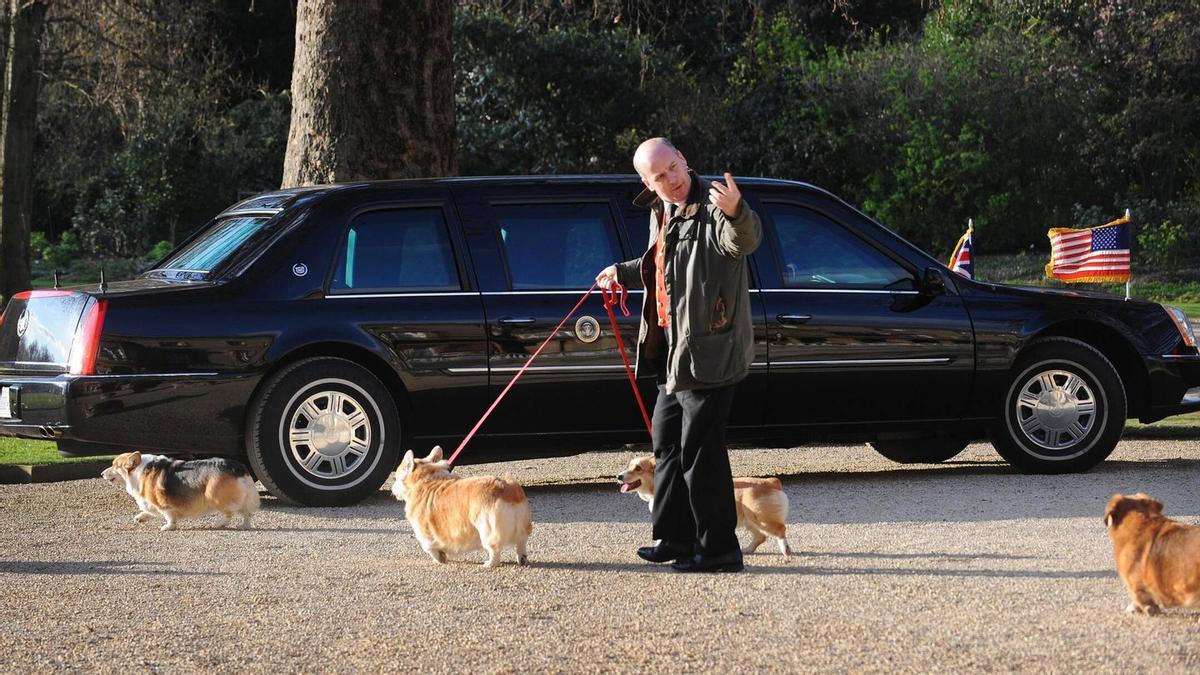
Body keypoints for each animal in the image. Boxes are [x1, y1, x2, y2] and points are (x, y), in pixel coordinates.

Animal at [101, 449, 260, 528]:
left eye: (115, 466)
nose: (101, 474)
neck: (139, 470)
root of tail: (239, 468)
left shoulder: (163, 504)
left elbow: (169, 516)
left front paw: (168, 527)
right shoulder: (151, 504)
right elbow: (149, 511)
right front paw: (140, 517)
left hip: (214, 497)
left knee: (231, 513)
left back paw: (220, 524)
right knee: (247, 513)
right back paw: (245, 526)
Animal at [391, 446, 532, 566]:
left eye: (396, 478)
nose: (392, 489)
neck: (424, 479)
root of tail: (507, 488)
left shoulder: (425, 536)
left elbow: (431, 549)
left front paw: (440, 559)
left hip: (487, 531)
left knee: (495, 550)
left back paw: (489, 564)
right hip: (522, 527)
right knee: (521, 544)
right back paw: (522, 559)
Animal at [614, 454, 792, 554]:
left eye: (638, 468)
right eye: (629, 466)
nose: (618, 476)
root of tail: (771, 482)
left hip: (761, 519)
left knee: (780, 530)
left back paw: (786, 550)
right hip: (749, 521)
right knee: (761, 537)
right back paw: (747, 550)